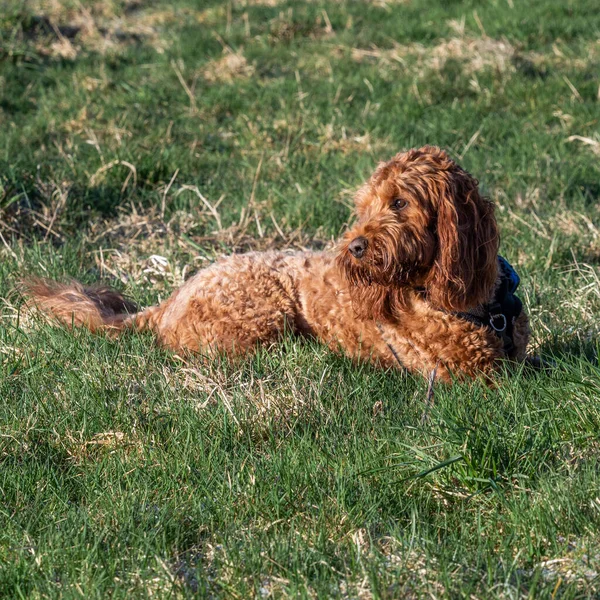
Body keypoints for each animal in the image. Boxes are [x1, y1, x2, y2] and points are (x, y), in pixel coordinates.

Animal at [22, 146, 528, 382]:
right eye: (365, 207)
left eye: (400, 202)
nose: (354, 248)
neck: (479, 308)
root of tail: (167, 301)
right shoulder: (465, 375)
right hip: (261, 317)